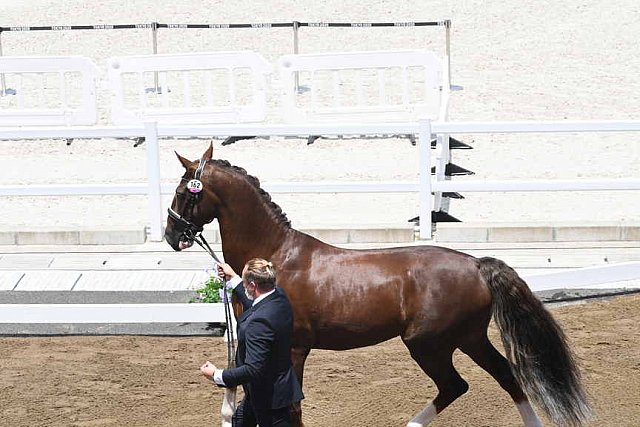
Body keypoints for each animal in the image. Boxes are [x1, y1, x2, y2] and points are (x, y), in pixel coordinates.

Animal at [164, 145, 592, 426]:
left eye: (184, 191)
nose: (171, 236)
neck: (277, 255)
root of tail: (476, 263)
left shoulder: (294, 347)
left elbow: (292, 406)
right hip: (468, 337)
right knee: (503, 376)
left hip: (429, 343)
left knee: (456, 385)